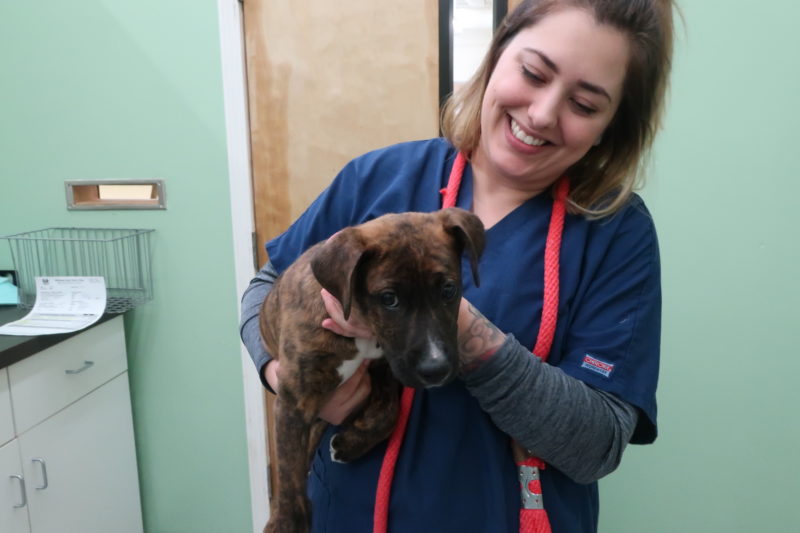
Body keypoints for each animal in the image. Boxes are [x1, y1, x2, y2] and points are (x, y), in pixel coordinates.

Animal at [260, 207, 484, 532]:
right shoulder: (293, 402)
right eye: (389, 299)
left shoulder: (385, 368)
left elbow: (389, 414)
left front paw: (349, 444)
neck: (361, 326)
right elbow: (289, 470)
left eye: (448, 290)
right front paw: (286, 523)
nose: (436, 369)